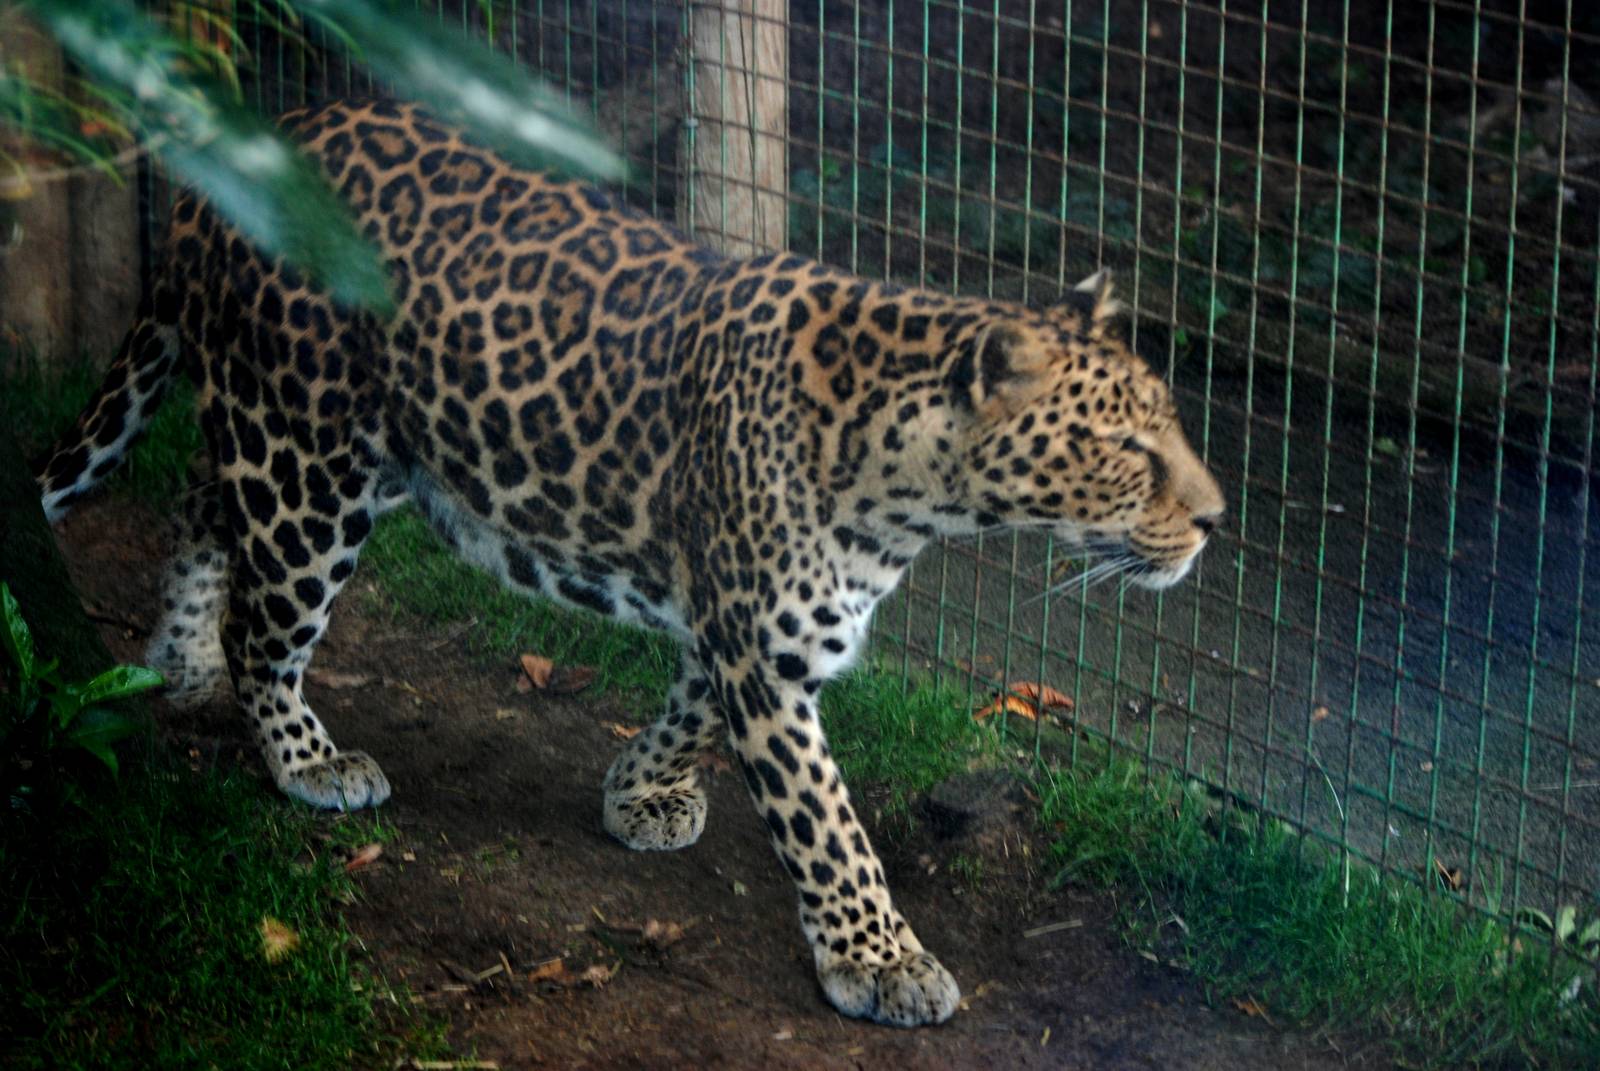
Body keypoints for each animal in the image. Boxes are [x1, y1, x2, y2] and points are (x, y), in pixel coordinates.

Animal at [35, 98, 1224, 1028]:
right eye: (1128, 449)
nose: (1217, 519)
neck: (915, 488)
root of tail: (246, 147)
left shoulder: (758, 621)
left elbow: (690, 710)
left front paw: (639, 792)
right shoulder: (763, 643)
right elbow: (827, 823)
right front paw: (880, 959)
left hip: (319, 438)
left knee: (200, 501)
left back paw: (180, 660)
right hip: (311, 460)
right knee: (265, 614)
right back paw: (304, 756)